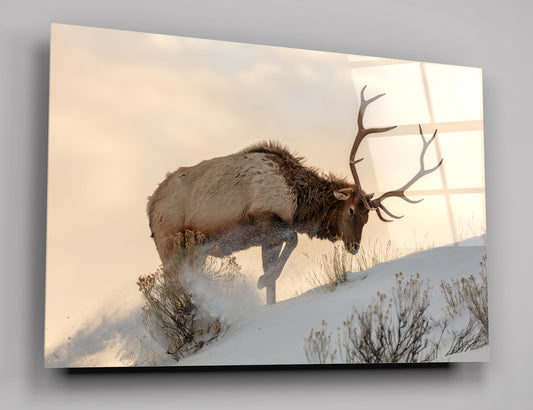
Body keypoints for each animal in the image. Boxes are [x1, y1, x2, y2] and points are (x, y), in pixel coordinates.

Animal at [145, 85, 440, 304]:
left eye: (368, 218)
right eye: (351, 210)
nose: (354, 246)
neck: (298, 203)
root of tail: (150, 206)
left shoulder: (267, 239)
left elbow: (274, 280)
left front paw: (267, 290)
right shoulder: (264, 218)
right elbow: (293, 241)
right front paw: (261, 280)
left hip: (195, 252)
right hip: (170, 246)